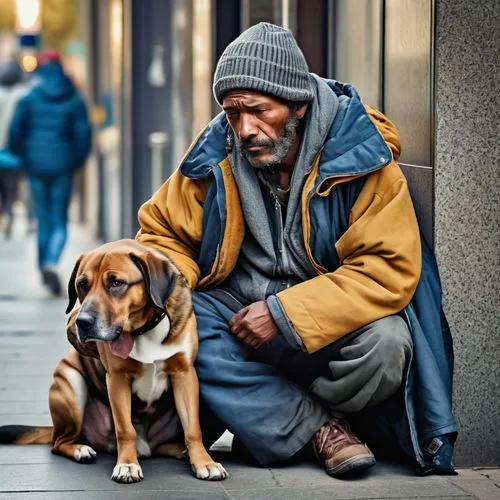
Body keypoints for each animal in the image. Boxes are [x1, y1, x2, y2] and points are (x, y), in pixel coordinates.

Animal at [0, 240, 227, 482]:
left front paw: (204, 462)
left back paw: (180, 450)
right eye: (82, 285)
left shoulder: (184, 374)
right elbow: (125, 429)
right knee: (58, 442)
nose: (82, 322)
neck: (143, 330)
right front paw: (127, 464)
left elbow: (193, 429)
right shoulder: (117, 380)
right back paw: (80, 449)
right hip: (71, 384)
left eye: (116, 283)